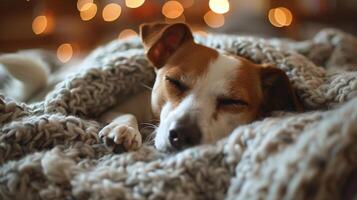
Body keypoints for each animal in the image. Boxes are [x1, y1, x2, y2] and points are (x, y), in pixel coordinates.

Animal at [0, 22, 300, 153]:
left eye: (233, 102)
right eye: (174, 82)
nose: (183, 135)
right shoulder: (112, 108)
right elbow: (124, 115)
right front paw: (123, 129)